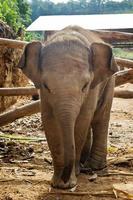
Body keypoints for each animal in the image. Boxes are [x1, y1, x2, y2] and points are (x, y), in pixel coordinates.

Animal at [17, 26, 118, 189]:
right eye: (46, 85)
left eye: (85, 85)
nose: (64, 179)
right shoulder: (44, 96)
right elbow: (49, 121)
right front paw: (58, 183)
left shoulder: (92, 88)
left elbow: (83, 120)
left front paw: (69, 181)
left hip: (109, 81)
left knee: (100, 117)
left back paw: (93, 167)